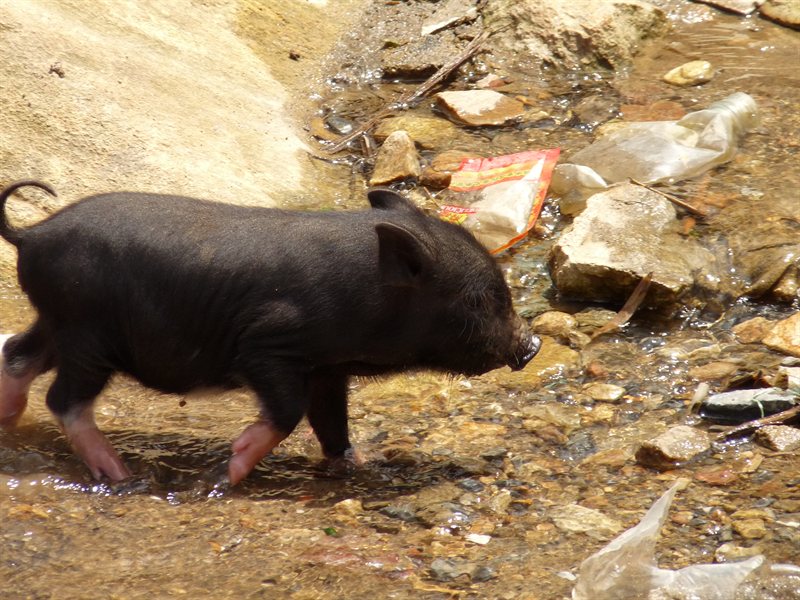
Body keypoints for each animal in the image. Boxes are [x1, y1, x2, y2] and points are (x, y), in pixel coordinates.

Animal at [0, 180, 540, 485]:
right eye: (484, 298)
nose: (531, 343)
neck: (370, 296)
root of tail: (32, 234)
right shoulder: (267, 345)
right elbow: (287, 412)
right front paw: (227, 473)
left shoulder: (327, 369)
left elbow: (332, 424)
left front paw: (360, 465)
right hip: (88, 333)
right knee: (64, 399)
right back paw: (120, 474)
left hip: (59, 322)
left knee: (18, 354)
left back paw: (11, 425)